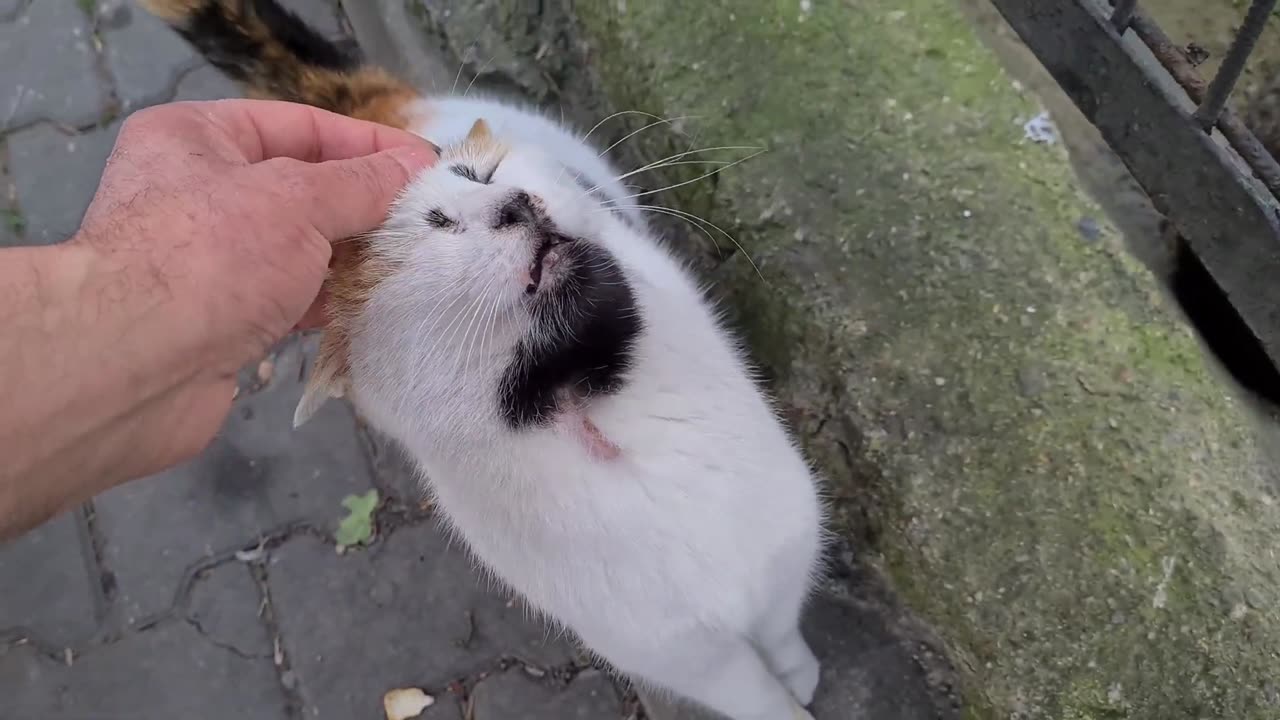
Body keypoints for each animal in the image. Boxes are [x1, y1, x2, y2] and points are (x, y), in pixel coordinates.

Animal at [145, 2, 829, 712]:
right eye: (435, 228)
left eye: (482, 176)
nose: (514, 203)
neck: (603, 418)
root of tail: (390, 110)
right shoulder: (686, 656)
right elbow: (758, 697)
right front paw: (789, 699)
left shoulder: (784, 550)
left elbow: (782, 631)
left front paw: (799, 672)